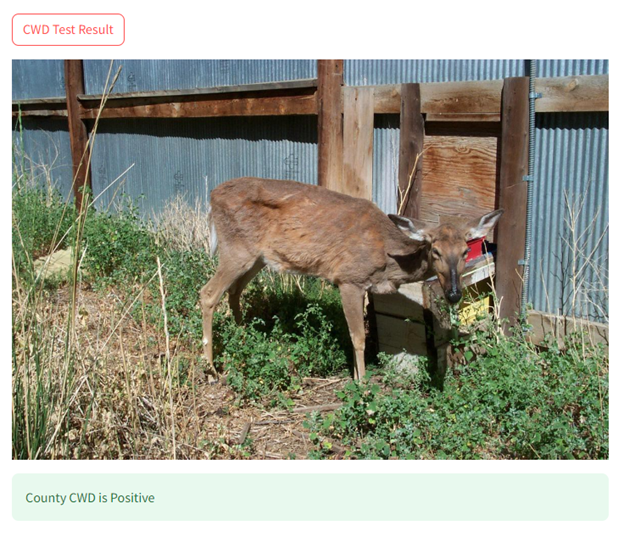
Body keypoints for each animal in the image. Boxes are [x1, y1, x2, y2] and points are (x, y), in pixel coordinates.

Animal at [200, 178, 502, 378]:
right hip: (236, 249)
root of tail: (212, 196)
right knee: (208, 293)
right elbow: (358, 337)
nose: (454, 293)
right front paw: (363, 387)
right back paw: (212, 368)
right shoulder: (348, 279)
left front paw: (358, 377)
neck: (387, 258)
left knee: (234, 291)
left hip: (257, 258)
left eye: (465, 251)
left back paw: (244, 337)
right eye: (435, 250)